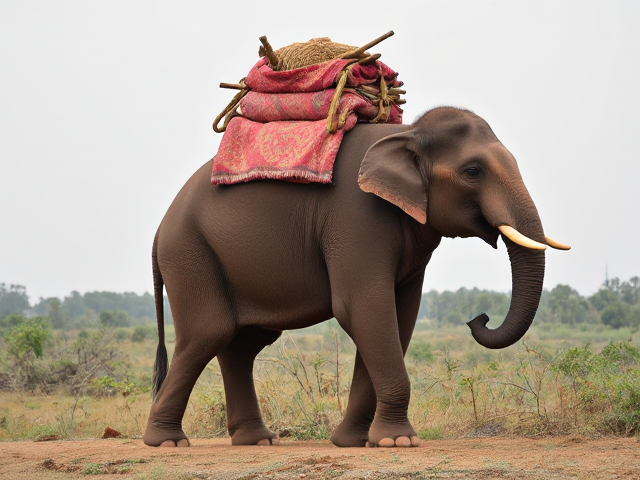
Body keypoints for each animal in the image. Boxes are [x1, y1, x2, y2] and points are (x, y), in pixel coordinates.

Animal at [143, 106, 569, 449]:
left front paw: (356, 442)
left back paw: (257, 441)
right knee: (209, 333)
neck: (408, 133)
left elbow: (398, 315)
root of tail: (159, 230)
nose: (477, 318)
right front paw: (400, 442)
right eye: (473, 171)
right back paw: (167, 443)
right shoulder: (356, 215)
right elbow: (363, 307)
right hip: (189, 253)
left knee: (242, 344)